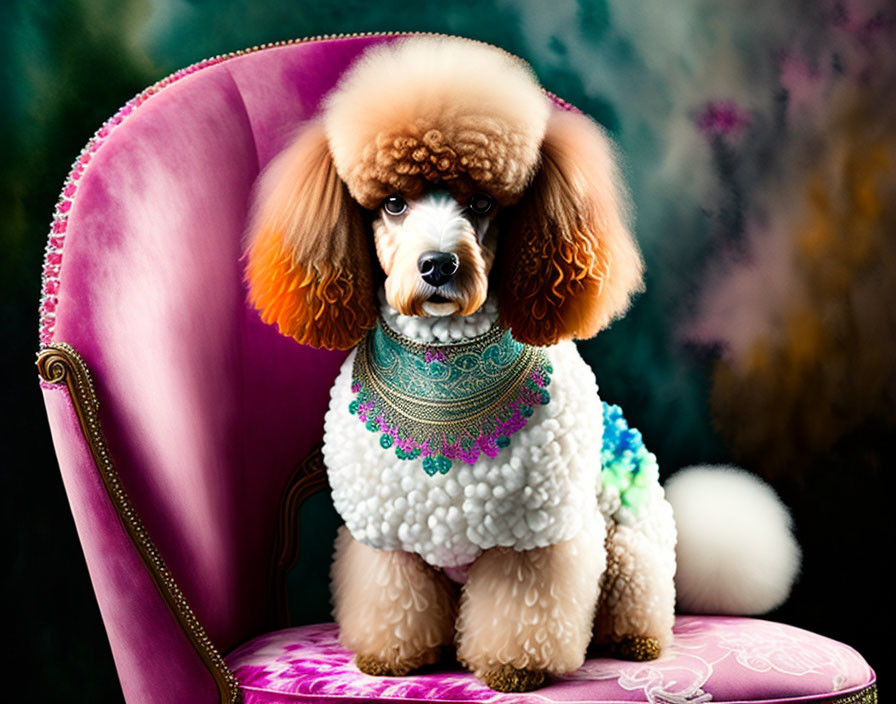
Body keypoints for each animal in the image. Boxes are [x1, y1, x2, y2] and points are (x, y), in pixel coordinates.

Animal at [243, 35, 800, 692]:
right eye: (394, 204)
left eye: (482, 202)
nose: (438, 265)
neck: (446, 367)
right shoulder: (387, 543)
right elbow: (394, 601)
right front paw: (393, 657)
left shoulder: (534, 540)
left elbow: (523, 611)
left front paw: (514, 668)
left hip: (627, 541)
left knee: (640, 594)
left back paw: (634, 640)